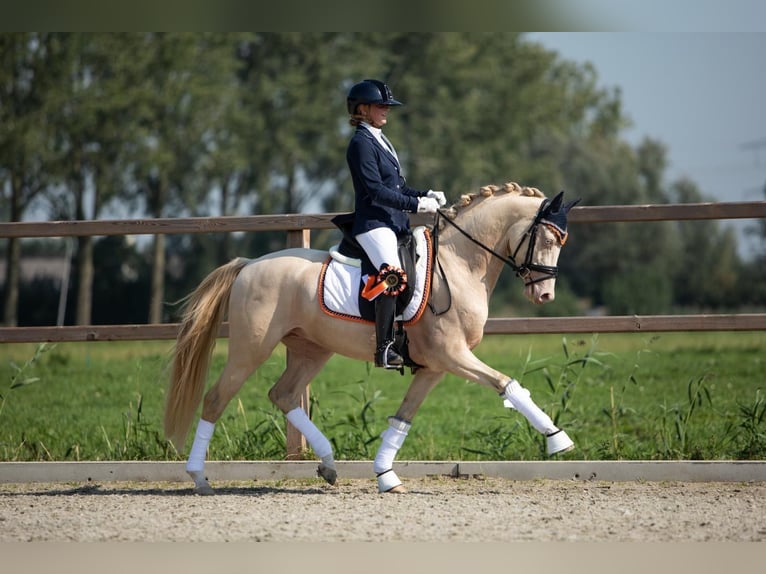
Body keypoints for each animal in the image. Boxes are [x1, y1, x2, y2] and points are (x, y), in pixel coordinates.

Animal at [164, 181, 579, 495]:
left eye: (563, 241)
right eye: (547, 239)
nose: (545, 295)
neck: (459, 263)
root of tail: (249, 265)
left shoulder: (436, 365)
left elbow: (403, 418)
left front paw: (385, 474)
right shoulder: (452, 355)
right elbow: (507, 384)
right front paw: (557, 438)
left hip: (312, 350)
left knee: (283, 394)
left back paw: (329, 464)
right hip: (251, 349)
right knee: (216, 399)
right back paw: (199, 478)